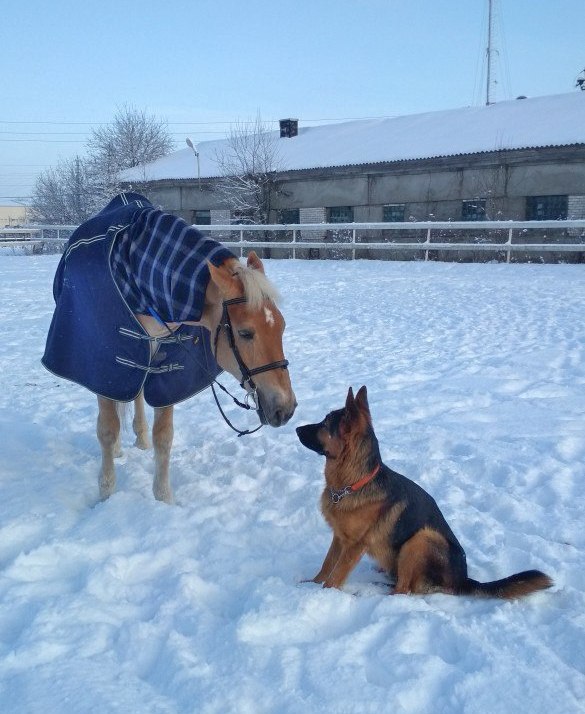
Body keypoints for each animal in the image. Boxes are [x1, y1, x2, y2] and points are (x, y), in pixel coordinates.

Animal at [42, 192, 296, 504]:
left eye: (281, 326)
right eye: (245, 333)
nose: (286, 408)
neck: (140, 279)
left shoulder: (169, 363)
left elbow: (163, 435)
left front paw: (163, 498)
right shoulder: (105, 360)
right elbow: (107, 429)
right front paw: (106, 493)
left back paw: (140, 438)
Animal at [296, 384, 552, 596]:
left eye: (325, 424)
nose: (296, 428)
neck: (355, 483)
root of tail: (463, 581)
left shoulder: (355, 545)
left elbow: (335, 576)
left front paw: (322, 594)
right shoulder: (339, 538)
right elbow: (327, 564)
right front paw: (311, 585)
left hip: (421, 539)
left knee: (403, 590)